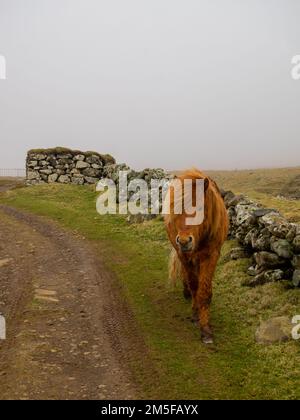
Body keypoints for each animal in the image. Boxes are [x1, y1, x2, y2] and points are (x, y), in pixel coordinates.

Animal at [164, 168, 227, 344]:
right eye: (177, 210)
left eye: (199, 209)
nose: (184, 241)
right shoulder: (184, 255)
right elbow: (194, 285)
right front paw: (195, 313)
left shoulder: (211, 256)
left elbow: (203, 291)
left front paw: (205, 329)